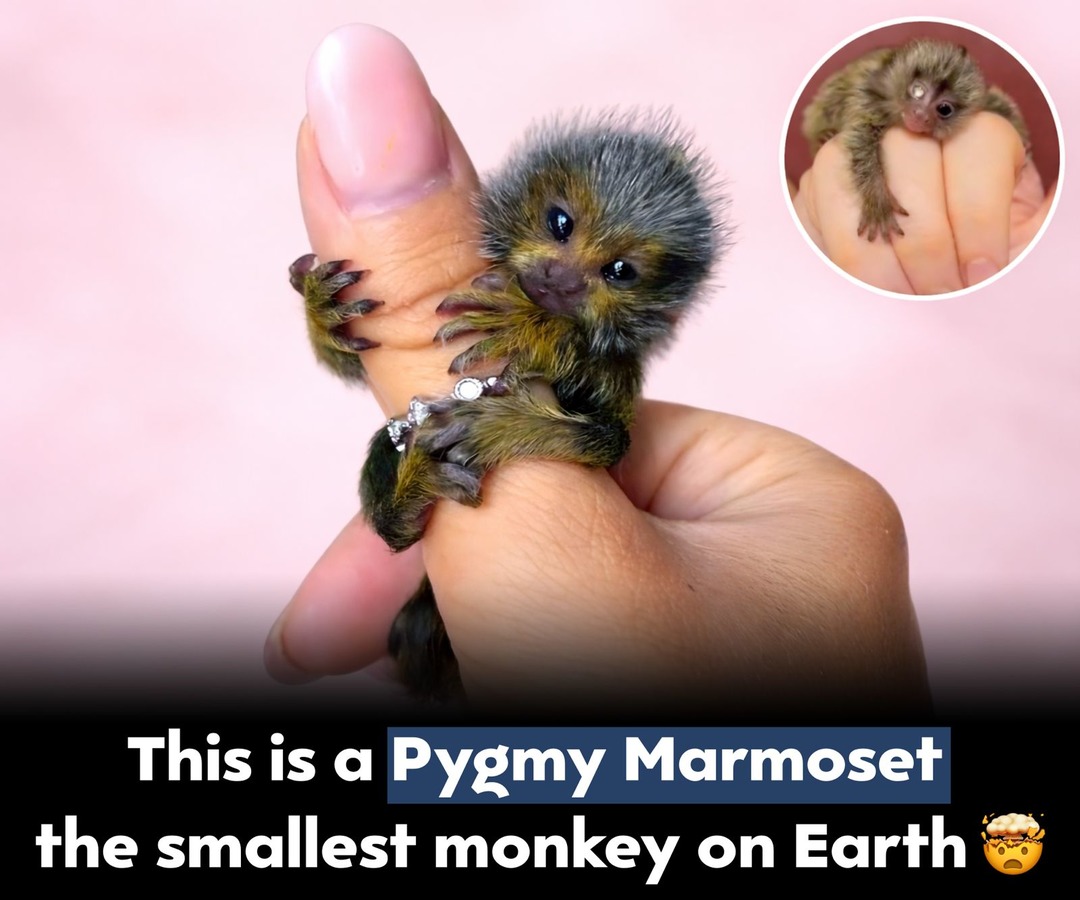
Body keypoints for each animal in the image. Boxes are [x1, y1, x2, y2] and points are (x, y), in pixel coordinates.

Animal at [290, 111, 729, 700]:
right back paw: (405, 500)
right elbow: (351, 360)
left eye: (619, 271)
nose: (560, 281)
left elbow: (610, 439)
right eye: (560, 223)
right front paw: (320, 310)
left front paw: (531, 331)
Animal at [802, 39, 1029, 242]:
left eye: (944, 109)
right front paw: (877, 197)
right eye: (918, 91)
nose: (920, 114)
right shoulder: (868, 94)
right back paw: (822, 136)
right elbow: (861, 137)